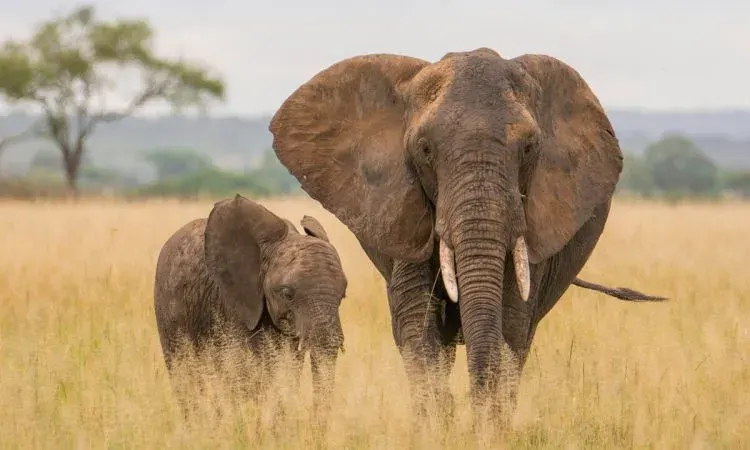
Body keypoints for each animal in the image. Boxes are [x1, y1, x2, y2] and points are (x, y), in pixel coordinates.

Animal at [268, 47, 666, 427]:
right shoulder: (401, 210)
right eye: (425, 149)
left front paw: (488, 424)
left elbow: (511, 322)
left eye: (528, 148)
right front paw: (438, 424)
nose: (470, 402)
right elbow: (417, 323)